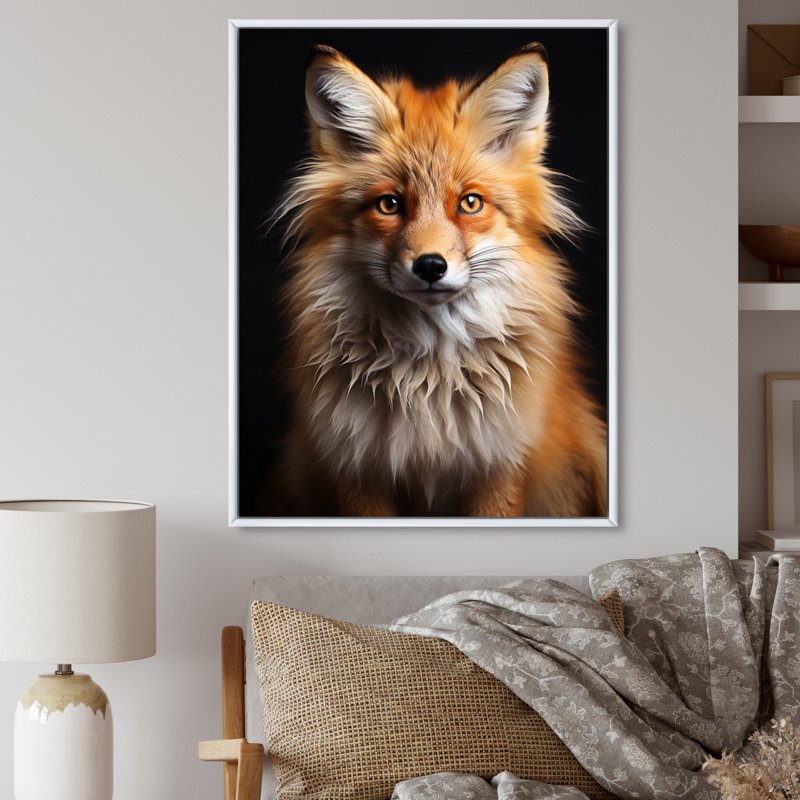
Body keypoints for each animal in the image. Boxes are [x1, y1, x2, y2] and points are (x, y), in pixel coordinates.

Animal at [272, 42, 608, 518]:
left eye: (470, 203)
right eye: (389, 204)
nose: (431, 266)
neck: (428, 382)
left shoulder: (500, 464)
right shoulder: (356, 466)